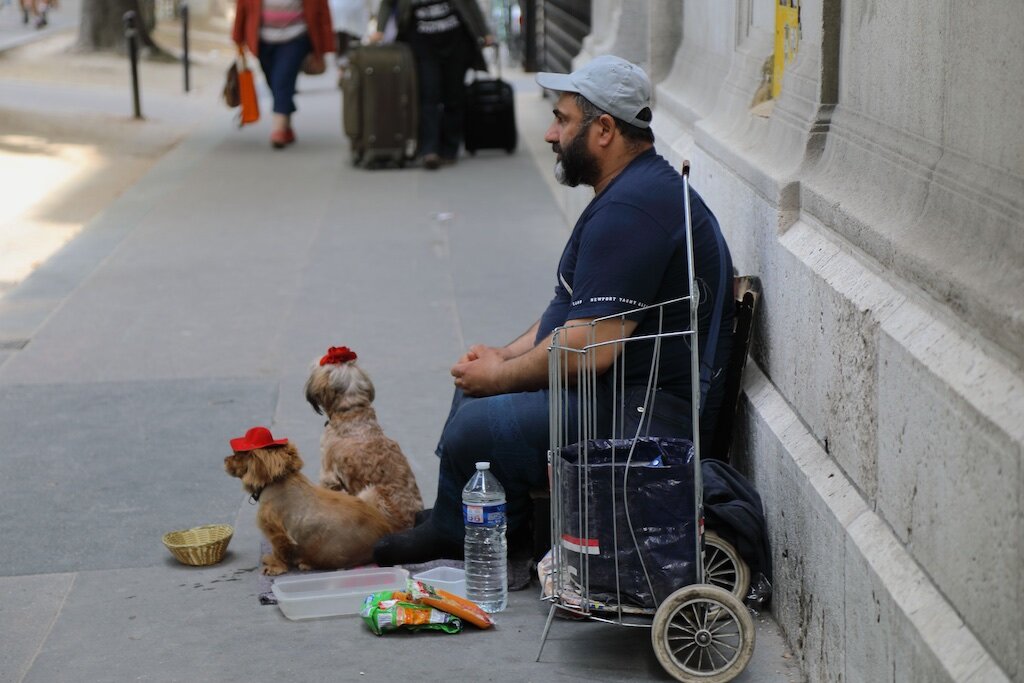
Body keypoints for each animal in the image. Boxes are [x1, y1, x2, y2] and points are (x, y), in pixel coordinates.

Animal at [224, 428, 391, 577]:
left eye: (237, 456)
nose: (225, 460)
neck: (276, 481)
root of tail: (386, 531)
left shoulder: (276, 532)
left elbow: (278, 552)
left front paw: (274, 566)